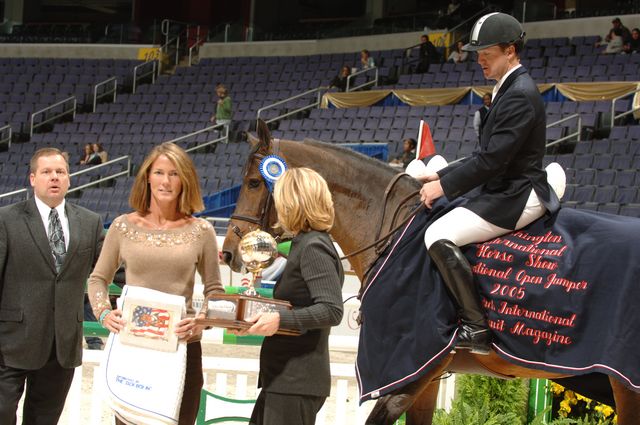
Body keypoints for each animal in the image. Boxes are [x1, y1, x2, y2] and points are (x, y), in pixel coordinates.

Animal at [221, 121, 640, 422]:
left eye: (255, 182)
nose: (228, 252)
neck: (395, 228)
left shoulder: (408, 370)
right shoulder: (425, 375)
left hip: (624, 382)